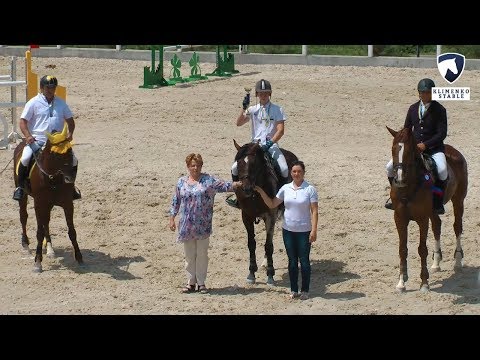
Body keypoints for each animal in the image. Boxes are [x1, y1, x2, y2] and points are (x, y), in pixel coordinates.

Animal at [12, 124, 83, 272]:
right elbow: (39, 232)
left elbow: (72, 231)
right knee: (23, 217)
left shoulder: (68, 204)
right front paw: (38, 262)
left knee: (47, 223)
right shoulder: (40, 203)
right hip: (26, 198)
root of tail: (21, 142)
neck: (53, 179)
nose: (70, 177)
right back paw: (26, 245)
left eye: (70, 150)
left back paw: (50, 248)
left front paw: (79, 258)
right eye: (55, 154)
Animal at [232, 139, 296, 286]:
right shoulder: (246, 216)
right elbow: (251, 243)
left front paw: (270, 275)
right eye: (238, 163)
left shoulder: (270, 216)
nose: (246, 189)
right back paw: (264, 263)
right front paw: (251, 273)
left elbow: (269, 245)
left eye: (254, 164)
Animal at [386, 125, 468, 292]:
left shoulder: (422, 219)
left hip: (458, 200)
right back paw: (436, 263)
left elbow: (422, 249)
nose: (399, 179)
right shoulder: (399, 218)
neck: (408, 187)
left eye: (409, 151)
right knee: (437, 225)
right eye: (393, 149)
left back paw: (457, 261)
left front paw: (424, 282)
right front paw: (401, 282)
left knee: (457, 227)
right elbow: (402, 249)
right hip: (433, 210)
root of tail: (453, 150)